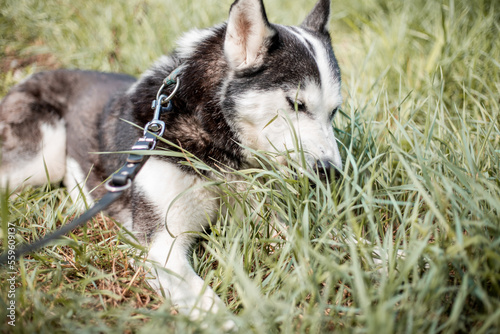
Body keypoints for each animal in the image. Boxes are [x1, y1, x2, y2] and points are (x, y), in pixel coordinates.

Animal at [0, 0, 342, 320]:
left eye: (335, 110)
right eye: (296, 103)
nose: (331, 171)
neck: (213, 141)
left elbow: (309, 249)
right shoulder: (162, 248)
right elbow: (211, 305)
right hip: (42, 158)